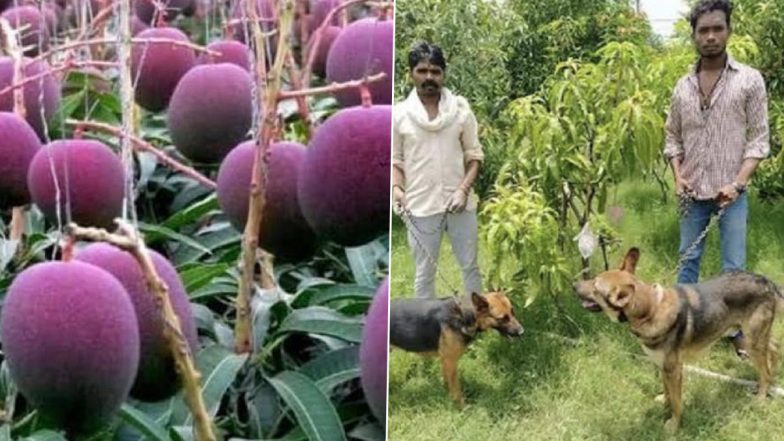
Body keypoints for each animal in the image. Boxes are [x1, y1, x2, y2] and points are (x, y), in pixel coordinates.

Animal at [388, 290, 524, 408]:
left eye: (513, 312)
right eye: (502, 318)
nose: (522, 332)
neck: (463, 315)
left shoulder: (445, 360)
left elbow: (447, 381)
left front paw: (445, 395)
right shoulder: (451, 361)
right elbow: (456, 389)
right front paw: (461, 407)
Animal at [572, 249, 780, 432]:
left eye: (595, 286)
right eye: (594, 279)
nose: (573, 285)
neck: (651, 310)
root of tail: (766, 281)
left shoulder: (674, 369)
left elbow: (677, 402)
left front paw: (673, 424)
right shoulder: (663, 367)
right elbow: (668, 394)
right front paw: (664, 403)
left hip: (752, 340)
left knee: (764, 370)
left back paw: (762, 396)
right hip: (756, 337)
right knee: (775, 348)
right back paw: (774, 375)